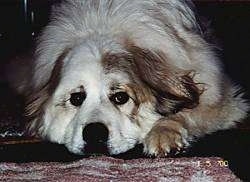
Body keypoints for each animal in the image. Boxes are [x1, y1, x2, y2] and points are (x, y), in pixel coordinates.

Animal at [6, 0, 248, 156]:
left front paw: (164, 133)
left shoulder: (223, 100)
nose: (94, 134)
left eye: (121, 98)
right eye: (76, 98)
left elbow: (185, 113)